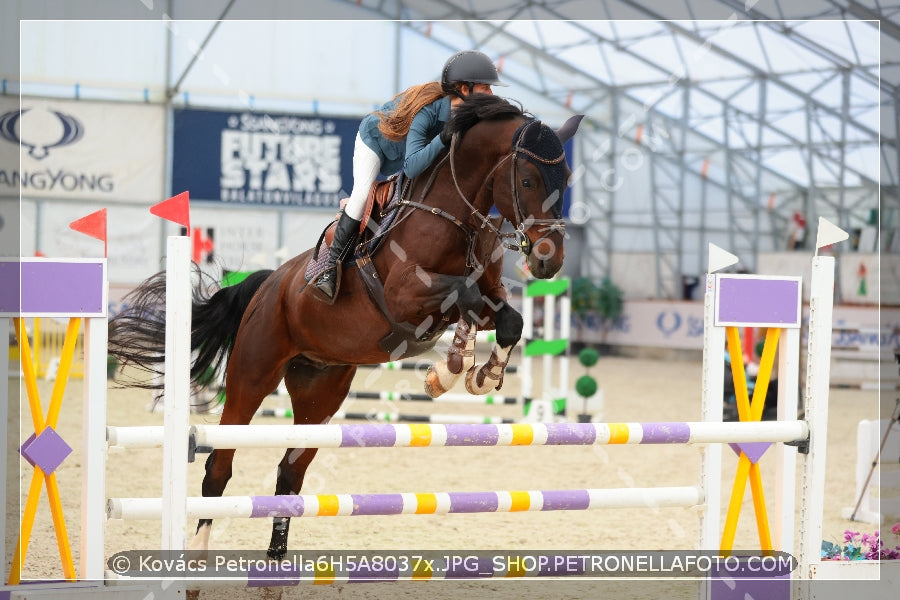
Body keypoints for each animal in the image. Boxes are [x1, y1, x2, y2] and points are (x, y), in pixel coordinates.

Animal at [107, 94, 584, 556]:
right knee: (218, 465)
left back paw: (276, 563)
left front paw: (481, 374)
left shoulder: (486, 297)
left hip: (321, 391)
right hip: (252, 374)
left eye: (565, 179)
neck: (455, 212)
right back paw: (200, 550)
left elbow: (508, 319)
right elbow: (461, 297)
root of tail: (268, 285)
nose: (550, 260)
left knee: (290, 472)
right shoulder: (406, 297)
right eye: (528, 181)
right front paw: (448, 372)